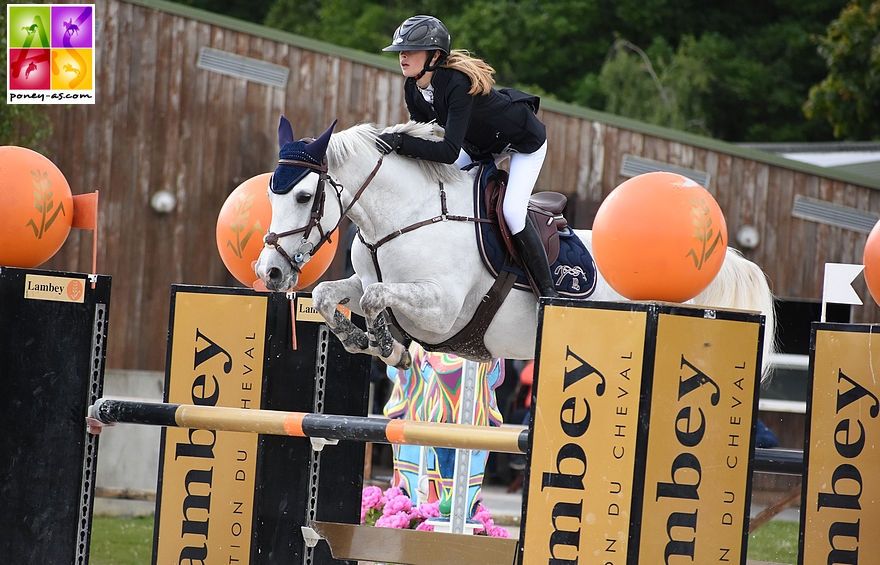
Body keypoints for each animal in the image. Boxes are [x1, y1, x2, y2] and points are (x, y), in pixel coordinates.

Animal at [251, 119, 772, 374]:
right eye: (271, 195)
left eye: (303, 196)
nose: (269, 273)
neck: (404, 217)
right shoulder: (366, 282)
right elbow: (329, 294)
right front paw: (363, 340)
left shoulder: (441, 310)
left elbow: (381, 299)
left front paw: (388, 345)